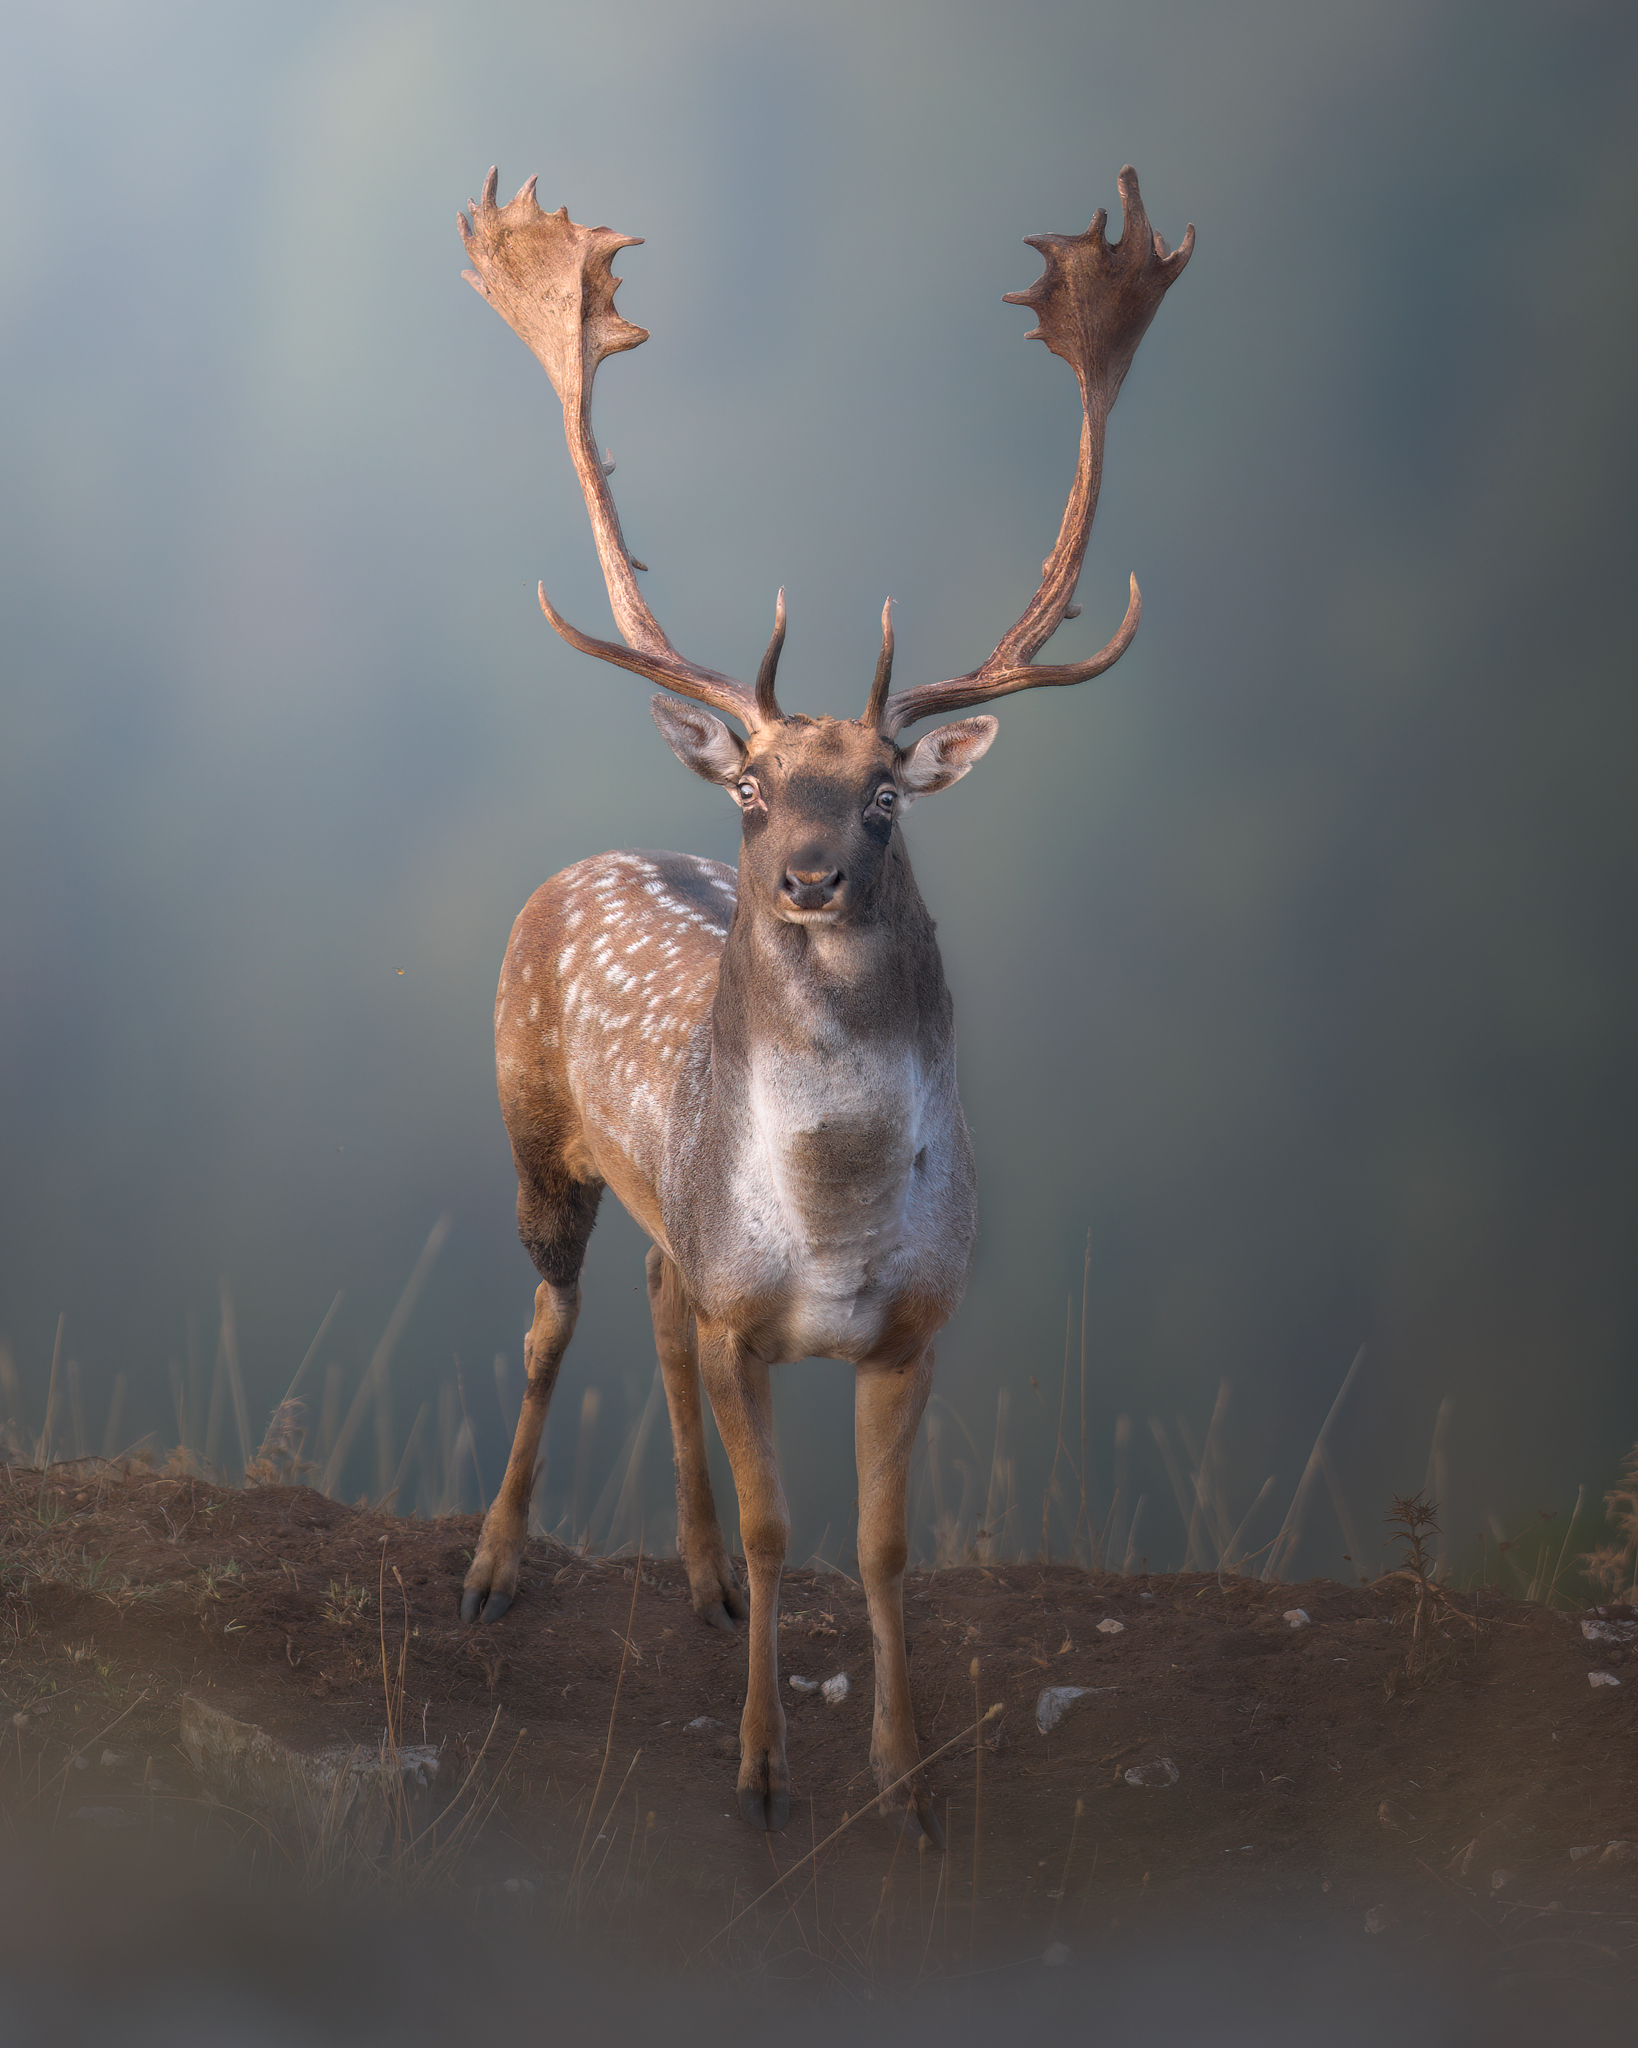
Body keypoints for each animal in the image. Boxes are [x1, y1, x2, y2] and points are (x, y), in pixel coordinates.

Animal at [454, 163, 1191, 1843]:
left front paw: (904, 1779)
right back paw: (491, 1567)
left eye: (882, 799)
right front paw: (759, 1772)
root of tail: (580, 860)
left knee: (650, 1299)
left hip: (665, 1214)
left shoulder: (920, 1319)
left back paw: (694, 1576)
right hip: (528, 1123)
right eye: (750, 786)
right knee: (551, 1320)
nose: (801, 874)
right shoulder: (751, 1317)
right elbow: (788, 1530)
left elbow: (878, 1546)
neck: (838, 1225)